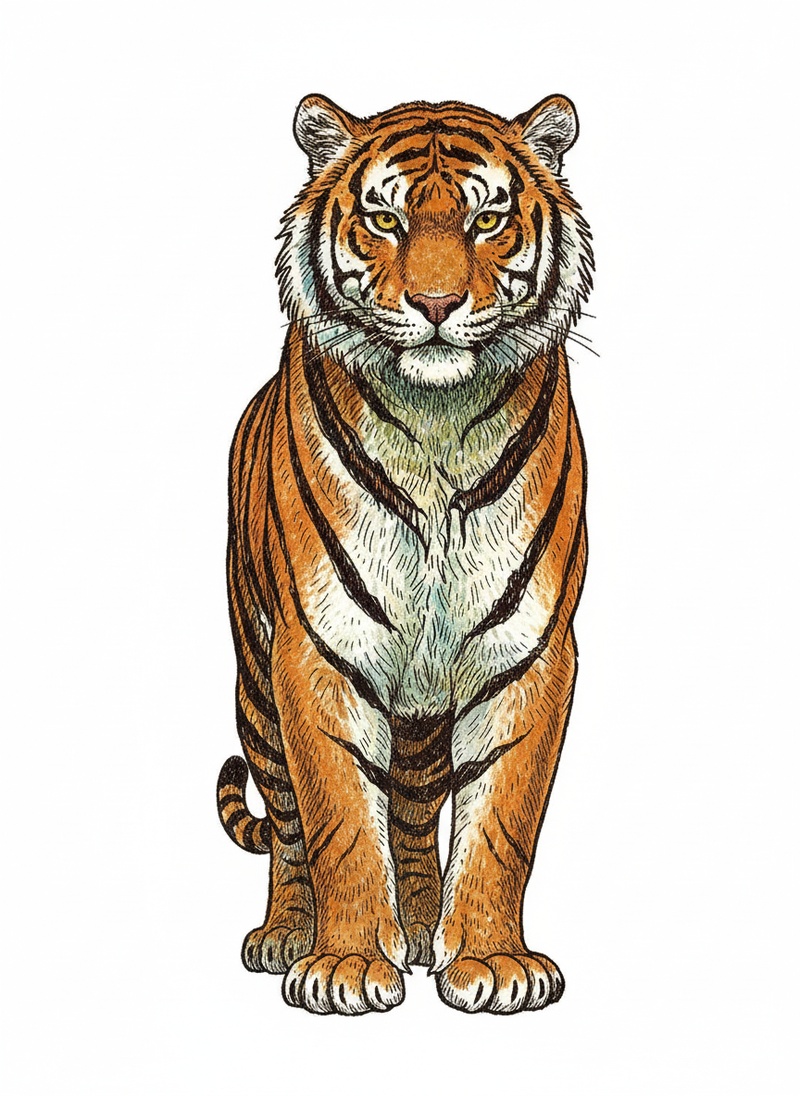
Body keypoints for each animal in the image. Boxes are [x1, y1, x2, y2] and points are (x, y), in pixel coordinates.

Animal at [217, 93, 594, 1015]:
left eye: (487, 219)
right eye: (384, 219)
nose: (435, 303)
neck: (437, 426)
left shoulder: (529, 652)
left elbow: (501, 826)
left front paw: (491, 962)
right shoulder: (317, 650)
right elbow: (340, 822)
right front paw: (346, 965)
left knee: (418, 813)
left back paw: (421, 929)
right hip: (255, 682)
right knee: (288, 823)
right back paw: (286, 934)